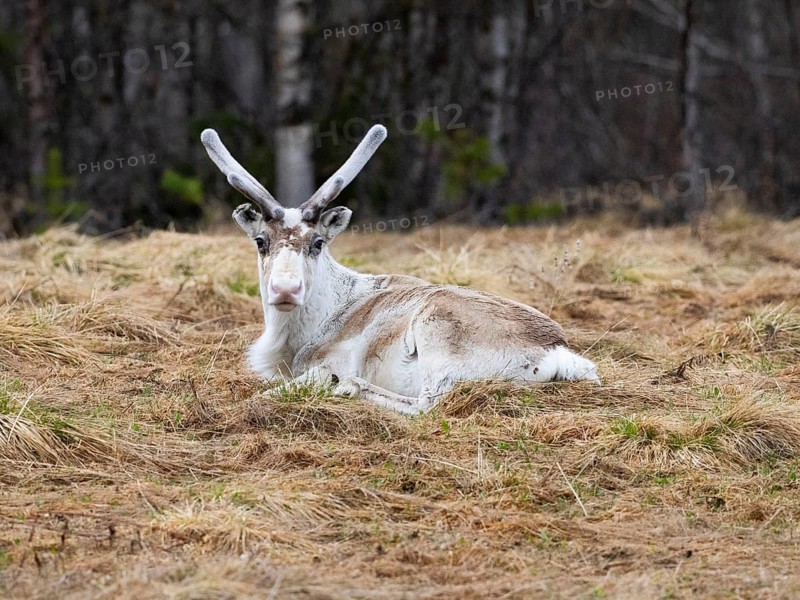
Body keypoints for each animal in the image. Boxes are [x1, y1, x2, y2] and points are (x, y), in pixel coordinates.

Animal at [201, 124, 599, 415]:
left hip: (439, 334)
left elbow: (270, 393)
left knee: (427, 404)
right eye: (260, 241)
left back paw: (348, 387)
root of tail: (557, 354)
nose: (285, 289)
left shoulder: (331, 361)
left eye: (317, 243)